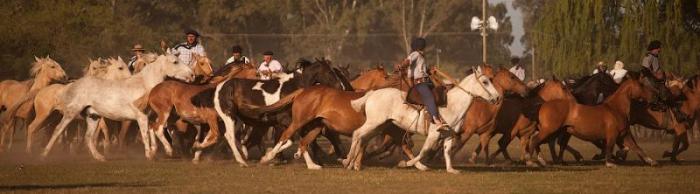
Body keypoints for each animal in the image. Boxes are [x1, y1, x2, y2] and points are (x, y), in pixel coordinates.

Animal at [40, 53, 194, 161]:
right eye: (175, 62)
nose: (192, 75)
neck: (144, 85)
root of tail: (73, 84)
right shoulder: (141, 117)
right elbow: (146, 134)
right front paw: (153, 154)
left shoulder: (150, 117)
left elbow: (153, 131)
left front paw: (156, 152)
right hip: (71, 113)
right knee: (58, 130)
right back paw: (44, 154)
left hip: (93, 116)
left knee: (88, 137)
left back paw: (100, 157)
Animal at [344, 66, 500, 174]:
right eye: (485, 82)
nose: (498, 97)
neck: (452, 105)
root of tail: (371, 94)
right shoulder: (433, 134)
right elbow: (424, 151)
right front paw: (407, 164)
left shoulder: (448, 135)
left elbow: (447, 152)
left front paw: (451, 170)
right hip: (374, 123)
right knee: (357, 134)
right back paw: (347, 161)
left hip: (380, 125)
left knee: (363, 138)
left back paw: (353, 164)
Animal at [528, 74, 660, 167]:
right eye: (641, 85)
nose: (655, 96)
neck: (615, 108)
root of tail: (543, 105)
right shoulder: (612, 135)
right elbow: (609, 147)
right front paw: (609, 162)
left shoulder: (624, 135)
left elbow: (635, 146)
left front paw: (651, 161)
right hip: (550, 130)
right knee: (535, 140)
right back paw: (534, 161)